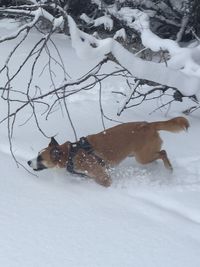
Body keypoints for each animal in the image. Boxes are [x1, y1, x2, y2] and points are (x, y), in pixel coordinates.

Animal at [27, 117, 189, 188]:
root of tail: (148, 125)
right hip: (143, 156)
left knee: (163, 153)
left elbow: (102, 181)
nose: (28, 162)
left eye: (40, 158)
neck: (70, 154)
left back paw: (169, 169)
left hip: (142, 156)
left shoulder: (102, 176)